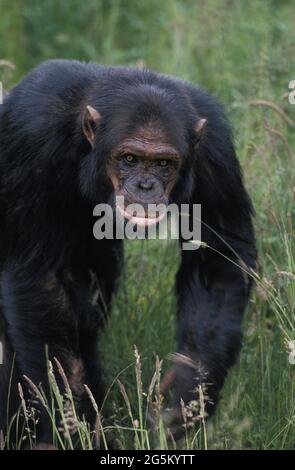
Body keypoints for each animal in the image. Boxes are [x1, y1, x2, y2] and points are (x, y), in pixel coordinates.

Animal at [0, 59, 256, 448]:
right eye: (130, 159)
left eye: (164, 164)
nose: (146, 186)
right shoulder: (31, 134)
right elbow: (40, 277)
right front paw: (73, 421)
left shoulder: (215, 149)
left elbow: (219, 257)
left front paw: (187, 395)